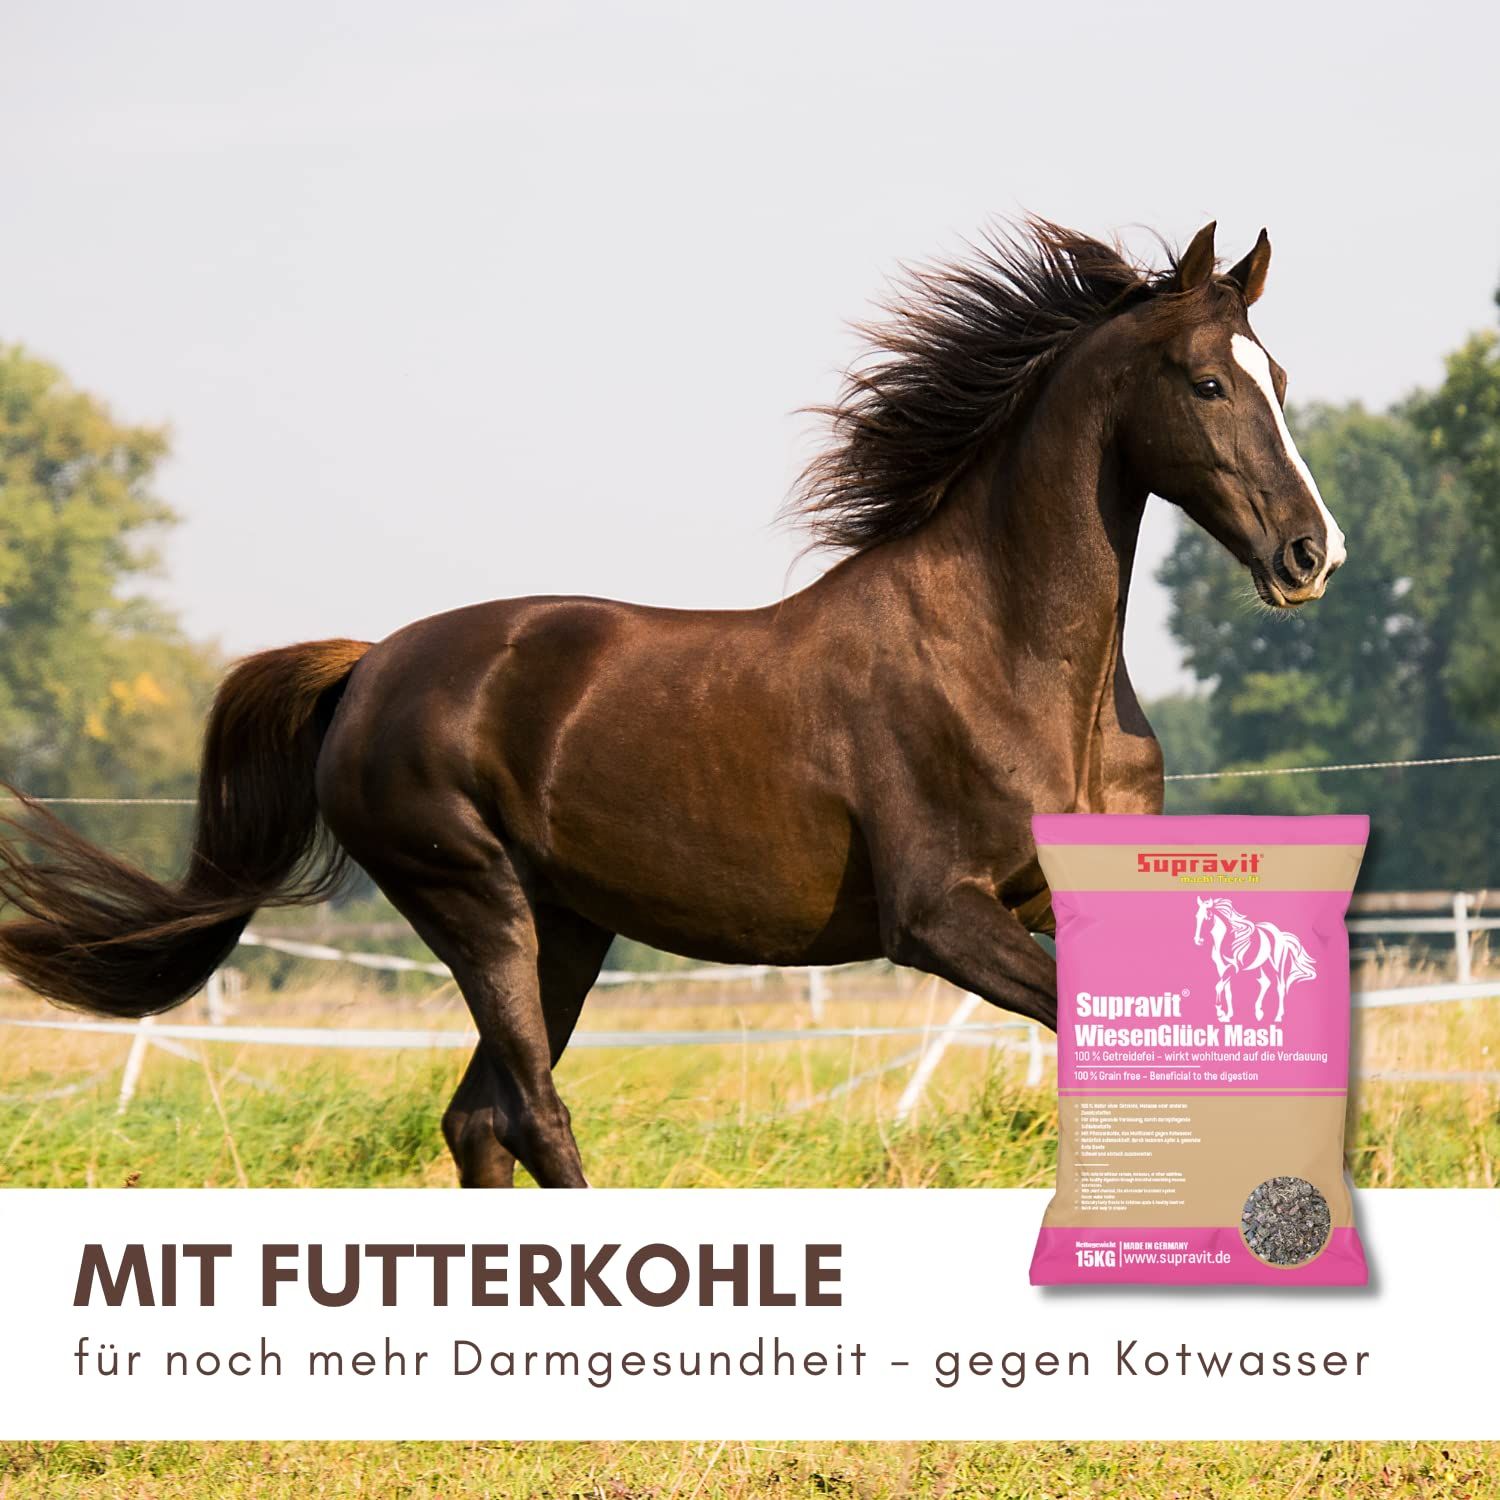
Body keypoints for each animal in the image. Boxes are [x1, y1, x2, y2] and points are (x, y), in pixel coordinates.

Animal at [1193, 895, 1318, 1023]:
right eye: (1197, 916)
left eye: (1208, 917)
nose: (1198, 940)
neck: (1225, 940)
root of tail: (1281, 935)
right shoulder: (1221, 968)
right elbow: (1227, 991)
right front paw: (1227, 1015)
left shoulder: (1233, 968)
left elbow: (1218, 986)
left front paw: (1220, 1012)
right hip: (1262, 964)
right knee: (1265, 982)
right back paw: (1259, 1012)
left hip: (1277, 966)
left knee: (1280, 987)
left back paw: (1278, 1016)